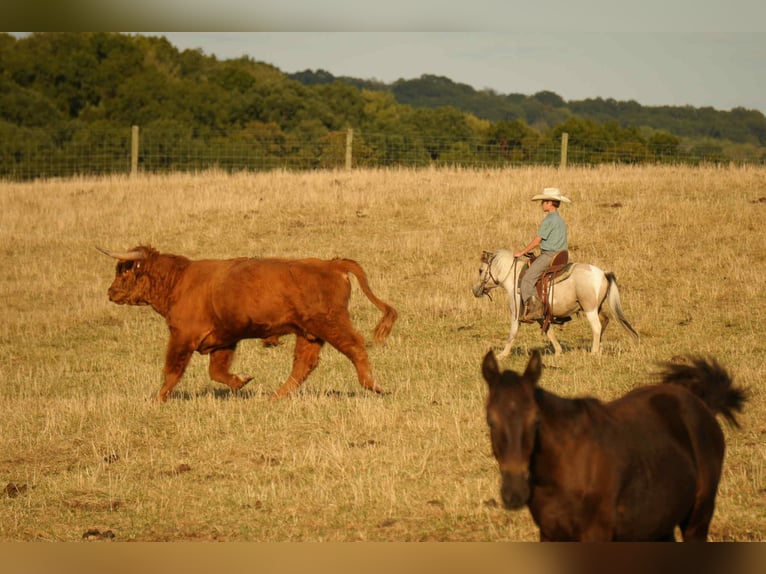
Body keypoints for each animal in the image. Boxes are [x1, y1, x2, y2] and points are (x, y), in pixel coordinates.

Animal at [472, 249, 638, 356]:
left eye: (480, 270)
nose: (475, 290)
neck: (515, 279)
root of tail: (603, 273)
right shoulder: (540, 315)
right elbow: (549, 331)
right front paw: (558, 351)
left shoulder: (516, 313)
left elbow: (512, 333)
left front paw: (503, 354)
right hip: (597, 308)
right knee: (604, 321)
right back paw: (600, 349)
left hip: (589, 308)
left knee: (596, 327)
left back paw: (593, 352)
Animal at [481, 349, 747, 541]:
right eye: (491, 421)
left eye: (536, 420)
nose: (514, 493)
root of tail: (702, 404)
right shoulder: (549, 534)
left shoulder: (596, 535)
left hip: (697, 519)